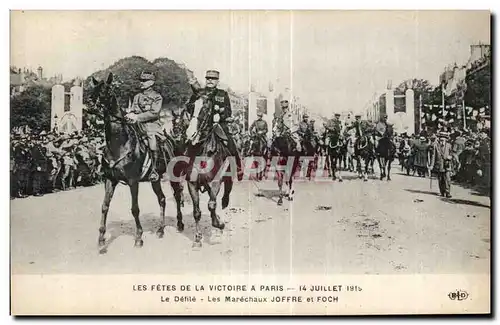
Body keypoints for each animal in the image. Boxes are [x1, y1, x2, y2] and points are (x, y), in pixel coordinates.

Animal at [89, 73, 184, 249]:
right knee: (162, 199)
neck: (119, 143)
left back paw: (180, 224)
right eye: (93, 90)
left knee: (177, 196)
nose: (90, 107)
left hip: (174, 176)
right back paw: (160, 229)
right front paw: (101, 239)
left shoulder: (133, 181)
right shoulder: (110, 179)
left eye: (106, 90)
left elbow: (135, 209)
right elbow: (105, 206)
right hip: (155, 180)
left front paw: (139, 237)